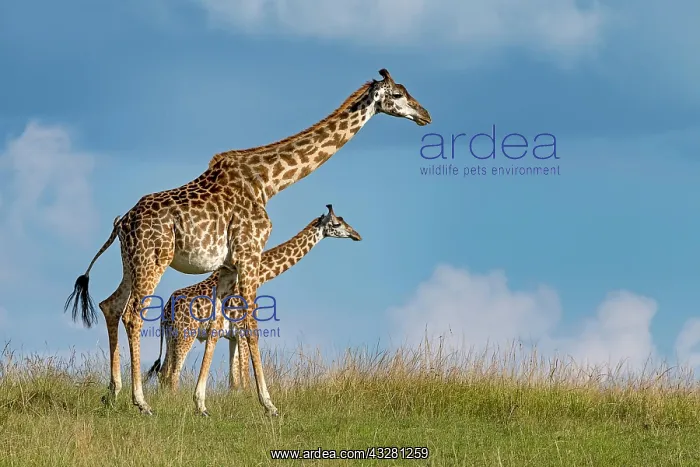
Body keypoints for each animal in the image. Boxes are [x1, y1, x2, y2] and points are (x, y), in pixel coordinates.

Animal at [144, 204, 361, 415]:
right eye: (337, 223)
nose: (356, 235)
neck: (261, 276)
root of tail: (165, 312)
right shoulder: (240, 330)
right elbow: (244, 377)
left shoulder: (232, 336)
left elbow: (235, 381)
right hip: (185, 334)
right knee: (172, 374)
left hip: (172, 337)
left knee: (164, 372)